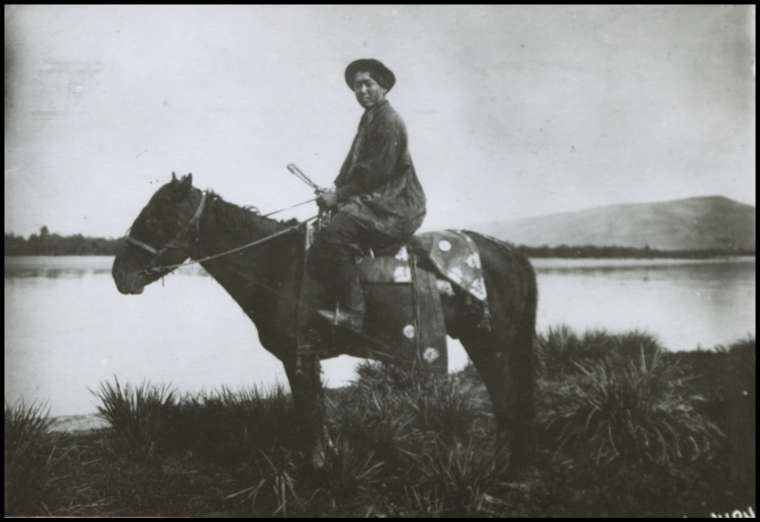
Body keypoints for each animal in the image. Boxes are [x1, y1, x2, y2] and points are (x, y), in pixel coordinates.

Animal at [113, 173, 540, 470]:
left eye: (156, 220)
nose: (120, 275)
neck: (280, 262)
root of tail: (508, 251)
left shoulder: (297, 356)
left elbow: (308, 412)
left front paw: (315, 465)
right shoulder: (308, 356)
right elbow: (316, 410)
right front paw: (326, 458)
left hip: (488, 342)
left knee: (506, 401)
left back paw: (503, 466)